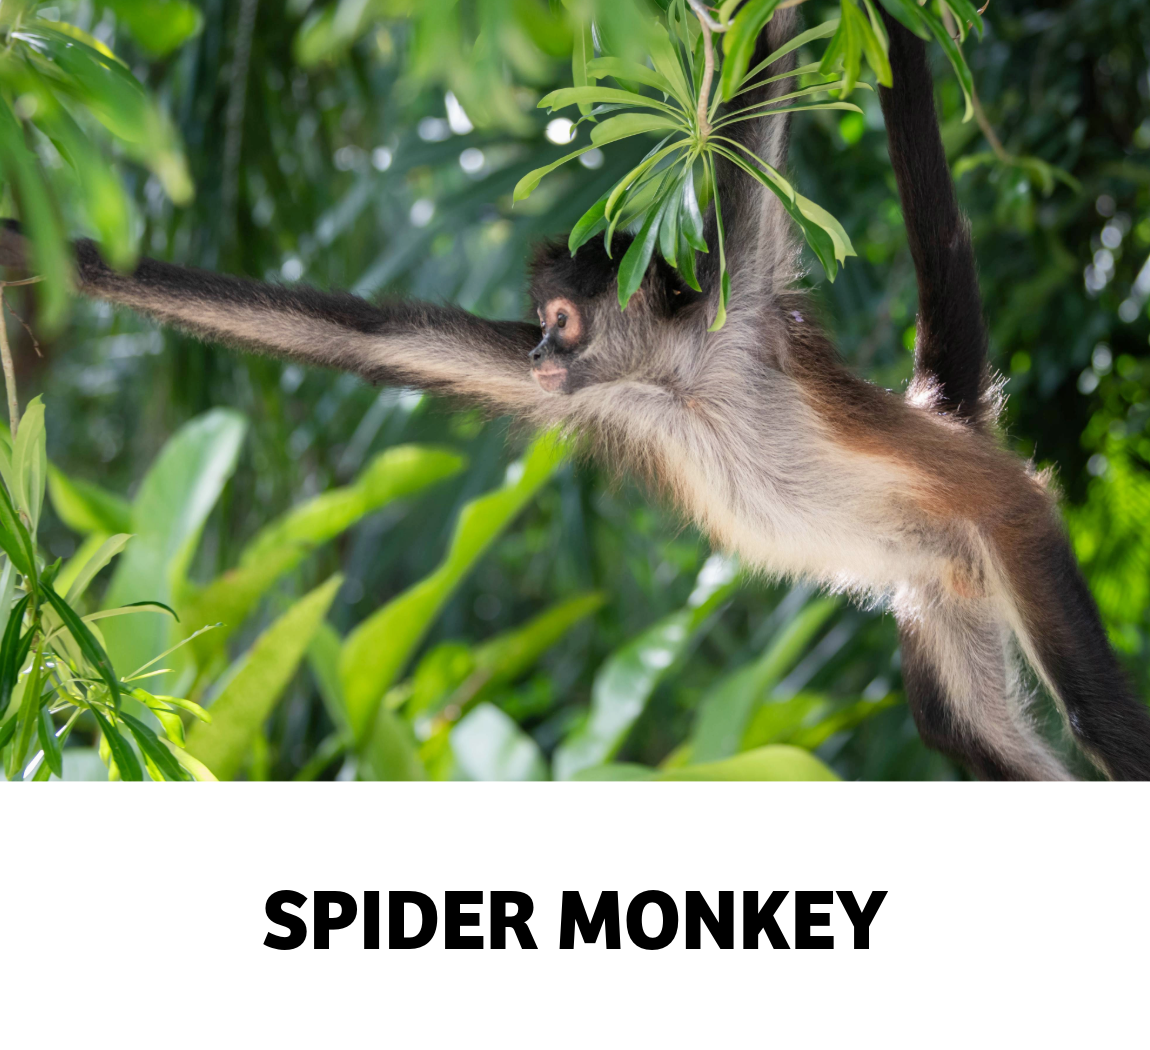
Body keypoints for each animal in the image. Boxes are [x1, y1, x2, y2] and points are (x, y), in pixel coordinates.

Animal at [2, 9, 1149, 780]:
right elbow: (369, 338)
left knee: (1101, 729)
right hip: (942, 592)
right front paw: (42, 252)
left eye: (562, 319)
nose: (543, 358)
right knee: (966, 734)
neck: (679, 381)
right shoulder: (601, 395)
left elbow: (762, 74)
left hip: (1015, 524)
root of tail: (953, 427)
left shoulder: (737, 299)